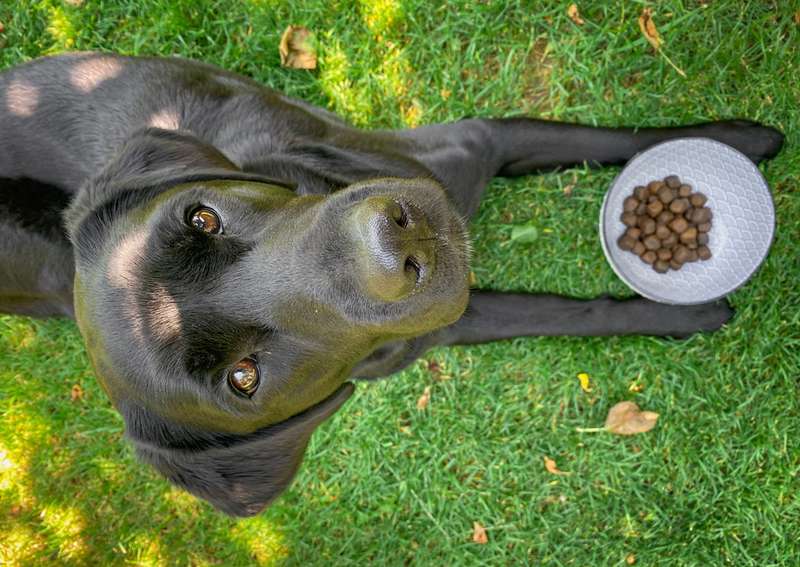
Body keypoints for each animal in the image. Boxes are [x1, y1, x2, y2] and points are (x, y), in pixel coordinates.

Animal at [0, 52, 788, 516]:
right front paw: (688, 315)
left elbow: (605, 139)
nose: (392, 241)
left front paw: (743, 138)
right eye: (243, 379)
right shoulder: (456, 319)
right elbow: (563, 312)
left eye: (202, 215)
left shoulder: (479, 140)